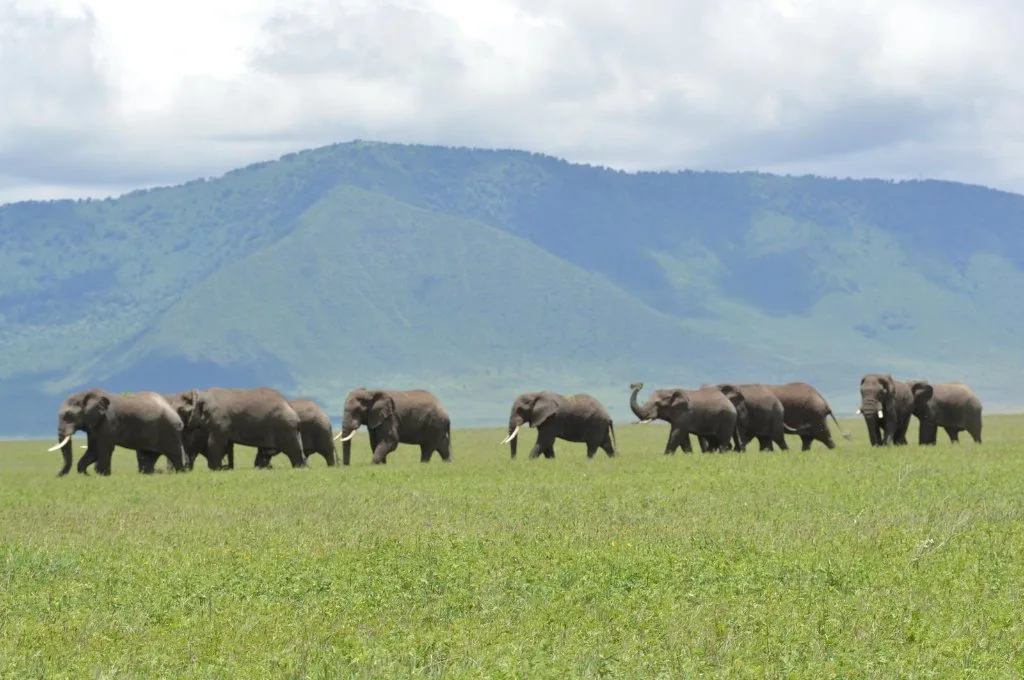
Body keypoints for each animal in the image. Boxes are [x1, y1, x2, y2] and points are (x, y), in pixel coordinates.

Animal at [50, 388, 188, 476]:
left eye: (70, 416)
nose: (58, 475)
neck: (87, 395)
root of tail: (174, 412)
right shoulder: (94, 425)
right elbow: (93, 450)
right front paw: (84, 474)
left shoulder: (108, 421)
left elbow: (104, 448)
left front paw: (102, 476)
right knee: (147, 457)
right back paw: (146, 474)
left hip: (170, 431)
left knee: (175, 455)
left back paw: (180, 473)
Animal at [163, 387, 307, 469]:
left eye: (180, 410)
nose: (186, 465)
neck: (200, 395)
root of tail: (290, 406)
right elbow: (227, 445)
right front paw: (226, 468)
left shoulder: (220, 420)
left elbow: (215, 443)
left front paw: (214, 469)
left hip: (285, 427)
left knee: (293, 451)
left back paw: (299, 468)